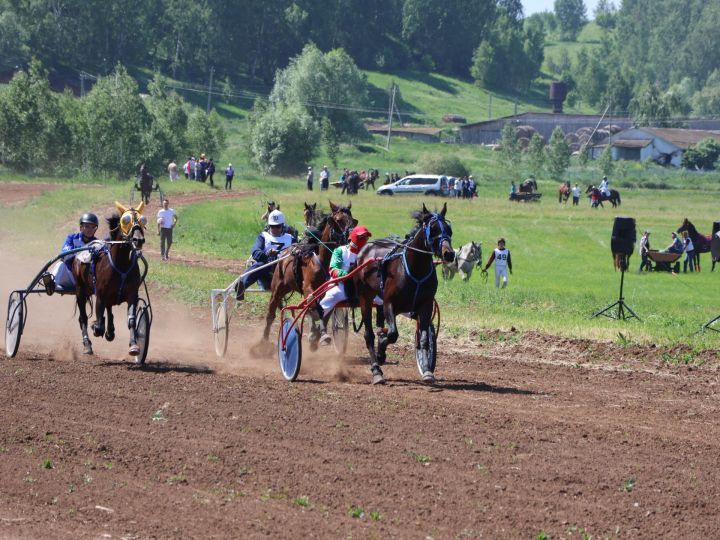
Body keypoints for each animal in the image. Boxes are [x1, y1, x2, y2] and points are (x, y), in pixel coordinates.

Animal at [73, 200, 148, 356]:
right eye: (125, 220)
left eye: (143, 220)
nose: (138, 239)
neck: (122, 265)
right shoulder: (100, 295)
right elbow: (98, 324)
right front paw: (96, 327)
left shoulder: (132, 294)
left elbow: (131, 320)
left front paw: (134, 345)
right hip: (80, 290)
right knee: (83, 318)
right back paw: (87, 344)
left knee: (109, 309)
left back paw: (110, 331)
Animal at [356, 201, 456, 384]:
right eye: (433, 229)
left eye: (448, 229)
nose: (449, 254)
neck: (416, 269)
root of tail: (367, 247)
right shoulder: (389, 302)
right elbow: (393, 334)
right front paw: (381, 351)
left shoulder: (425, 305)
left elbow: (423, 338)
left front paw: (427, 370)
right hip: (365, 297)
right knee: (369, 335)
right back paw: (376, 370)